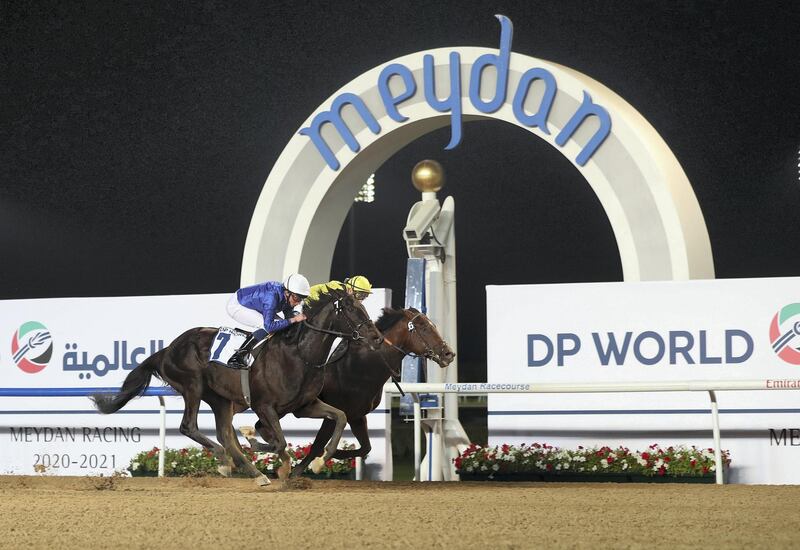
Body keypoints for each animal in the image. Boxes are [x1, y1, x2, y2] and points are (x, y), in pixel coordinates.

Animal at [90, 292, 384, 486]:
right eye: (354, 311)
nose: (377, 338)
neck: (300, 354)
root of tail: (168, 349)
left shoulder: (304, 406)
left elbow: (340, 417)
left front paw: (322, 459)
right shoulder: (264, 406)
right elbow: (278, 440)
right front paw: (266, 451)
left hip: (220, 398)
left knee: (223, 434)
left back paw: (254, 472)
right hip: (193, 385)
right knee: (190, 427)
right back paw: (227, 460)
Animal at [244, 310, 454, 478]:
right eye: (423, 328)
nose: (448, 354)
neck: (359, 366)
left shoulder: (357, 416)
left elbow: (365, 447)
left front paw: (333, 455)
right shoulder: (330, 412)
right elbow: (318, 445)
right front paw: (305, 467)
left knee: (261, 426)